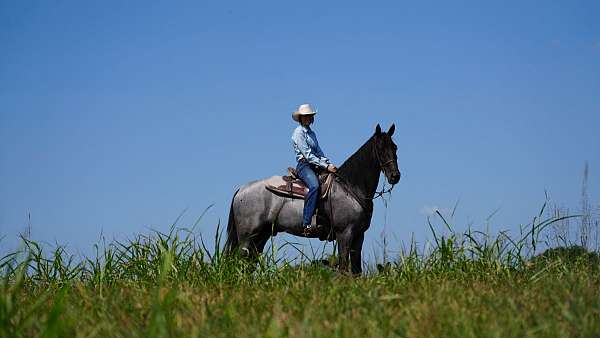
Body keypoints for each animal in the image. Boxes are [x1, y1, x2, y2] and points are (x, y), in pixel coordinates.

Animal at [223, 124, 400, 274]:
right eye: (380, 148)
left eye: (395, 147)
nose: (395, 176)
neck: (351, 187)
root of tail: (242, 189)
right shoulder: (345, 233)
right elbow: (344, 268)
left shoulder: (358, 235)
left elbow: (356, 270)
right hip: (247, 238)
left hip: (261, 236)